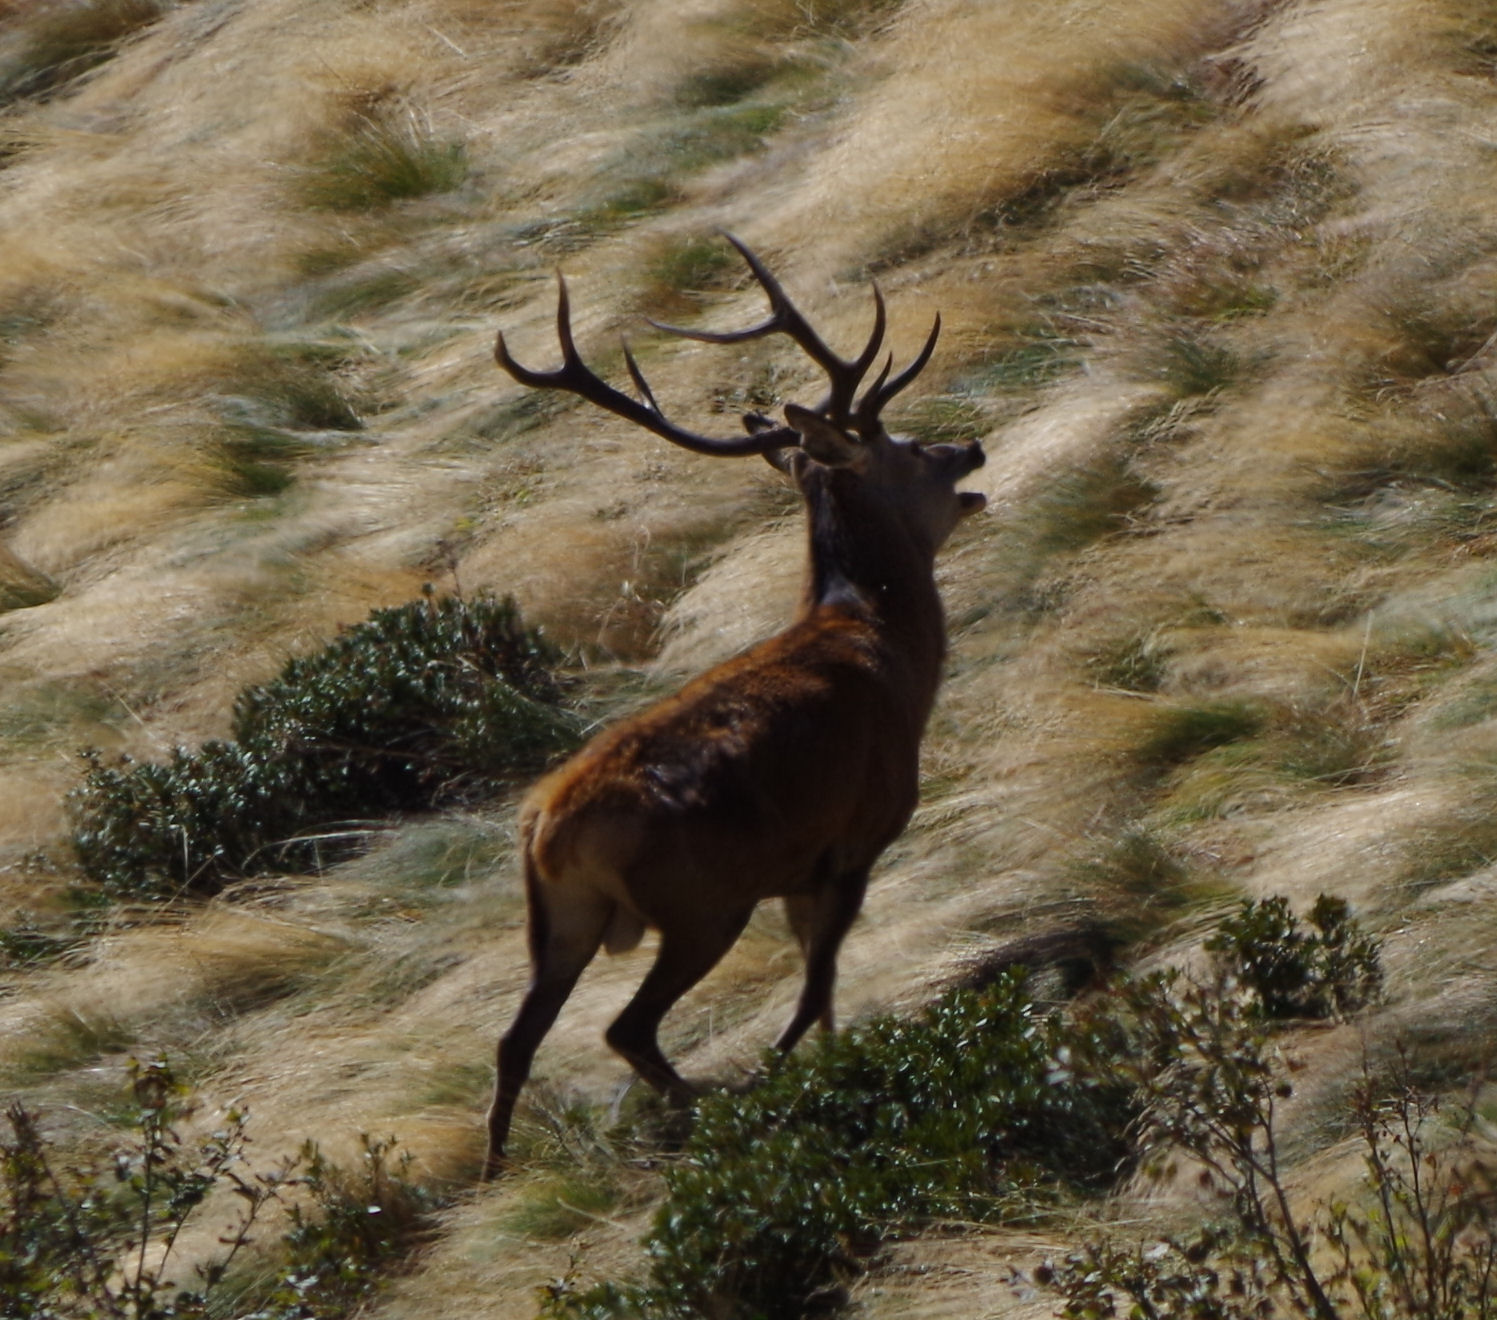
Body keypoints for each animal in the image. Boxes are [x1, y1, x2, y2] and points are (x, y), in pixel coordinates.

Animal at [482, 235, 986, 1179]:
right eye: (906, 446)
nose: (969, 449)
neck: (888, 654)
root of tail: (546, 830)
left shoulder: (801, 870)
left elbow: (824, 992)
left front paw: (837, 1061)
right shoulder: (852, 838)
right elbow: (817, 986)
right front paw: (810, 1070)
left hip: (559, 923)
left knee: (514, 1042)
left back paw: (495, 1177)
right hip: (699, 902)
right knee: (627, 1028)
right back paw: (714, 1105)